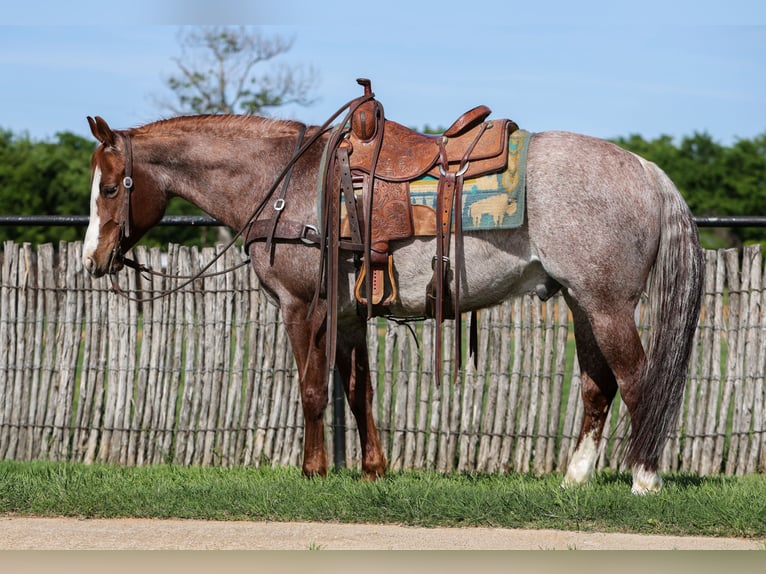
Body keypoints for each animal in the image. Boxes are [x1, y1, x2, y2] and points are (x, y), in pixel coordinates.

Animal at [82, 94, 704, 495]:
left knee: (637, 380)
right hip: (581, 303)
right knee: (599, 386)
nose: (92, 259)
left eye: (110, 188)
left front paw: (313, 471)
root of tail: (644, 169)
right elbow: (358, 393)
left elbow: (312, 390)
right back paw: (575, 479)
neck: (287, 186)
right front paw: (373, 470)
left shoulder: (303, 306)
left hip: (608, 305)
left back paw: (645, 479)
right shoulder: (350, 314)